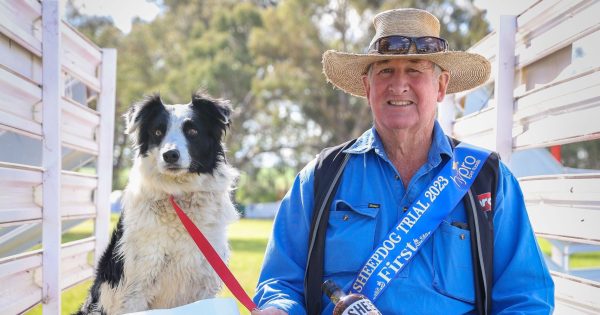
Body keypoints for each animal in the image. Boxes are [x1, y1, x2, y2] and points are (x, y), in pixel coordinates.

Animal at [77, 92, 239, 314]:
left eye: (193, 131)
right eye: (157, 131)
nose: (170, 155)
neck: (179, 196)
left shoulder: (205, 284)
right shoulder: (135, 288)